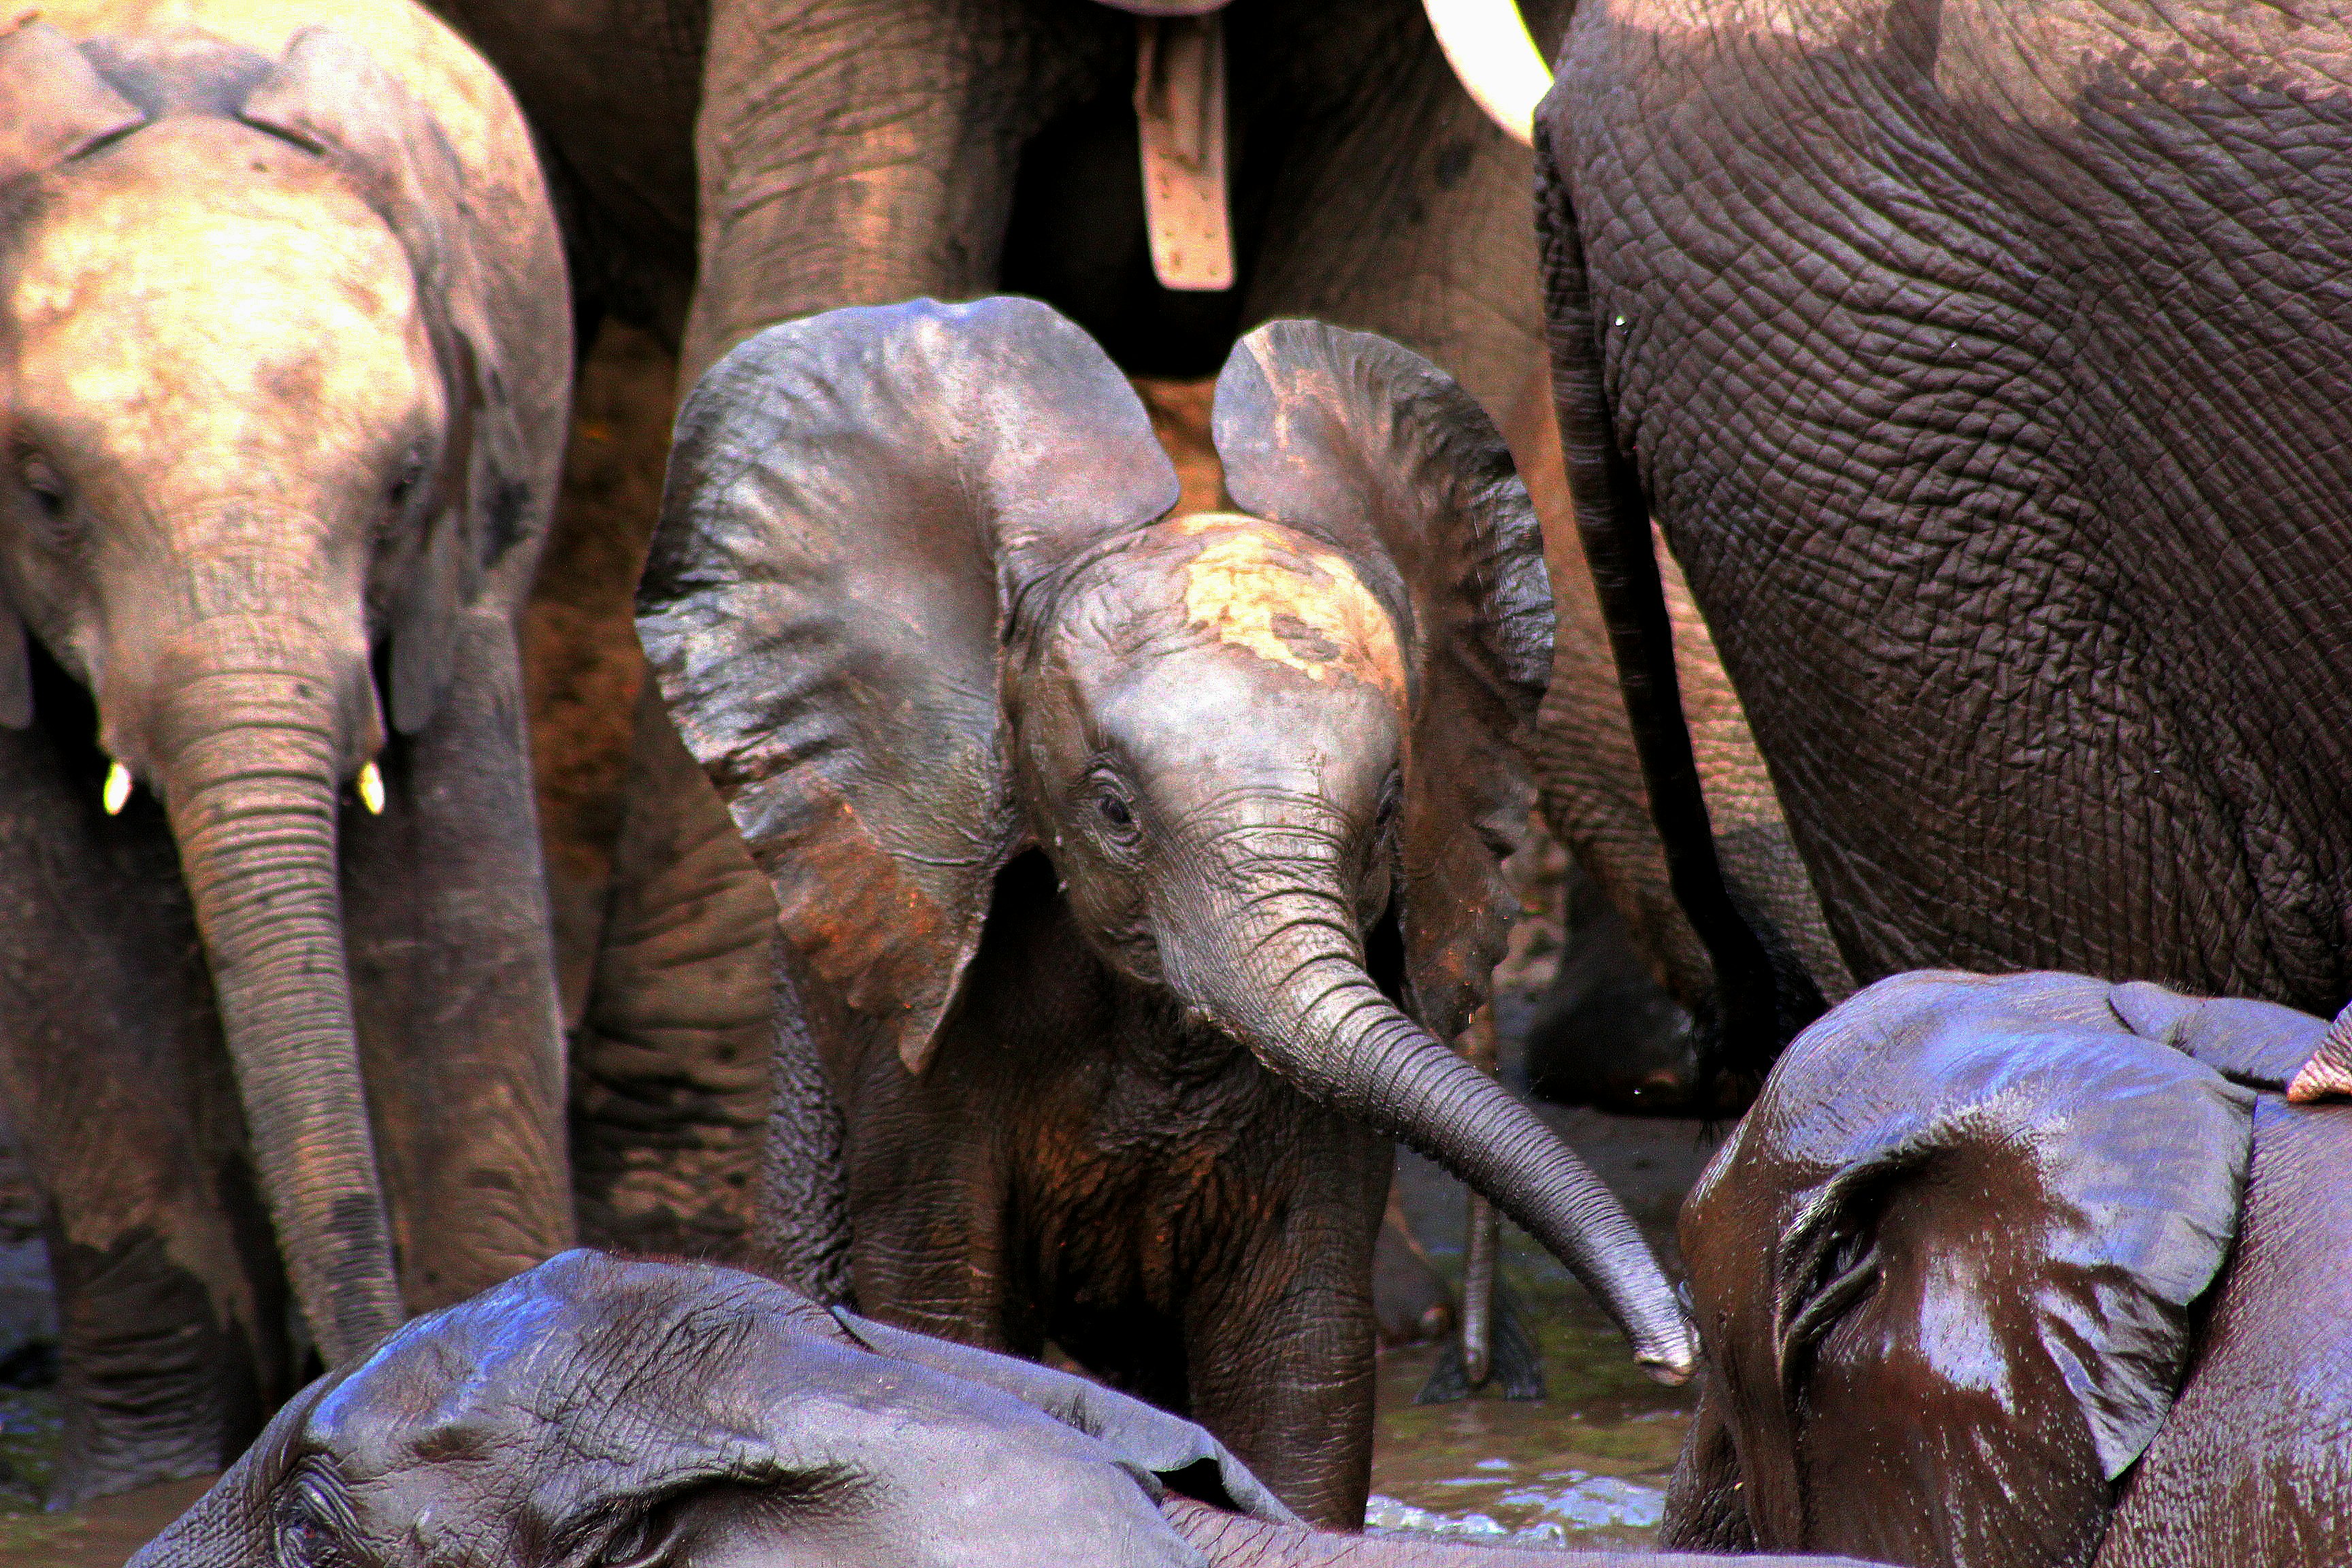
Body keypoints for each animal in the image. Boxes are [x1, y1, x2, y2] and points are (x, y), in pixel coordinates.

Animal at [0, 0, 574, 1504]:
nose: (352, 1390)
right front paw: (137, 1490)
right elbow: (65, 955)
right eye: (45, 492)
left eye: (403, 482)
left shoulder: (454, 575)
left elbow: (458, 911)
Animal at [635, 297, 1703, 1533]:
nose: (1673, 1355)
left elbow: (1299, 1360)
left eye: (1391, 808)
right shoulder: (926, 1050)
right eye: (1112, 812)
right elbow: (941, 1312)